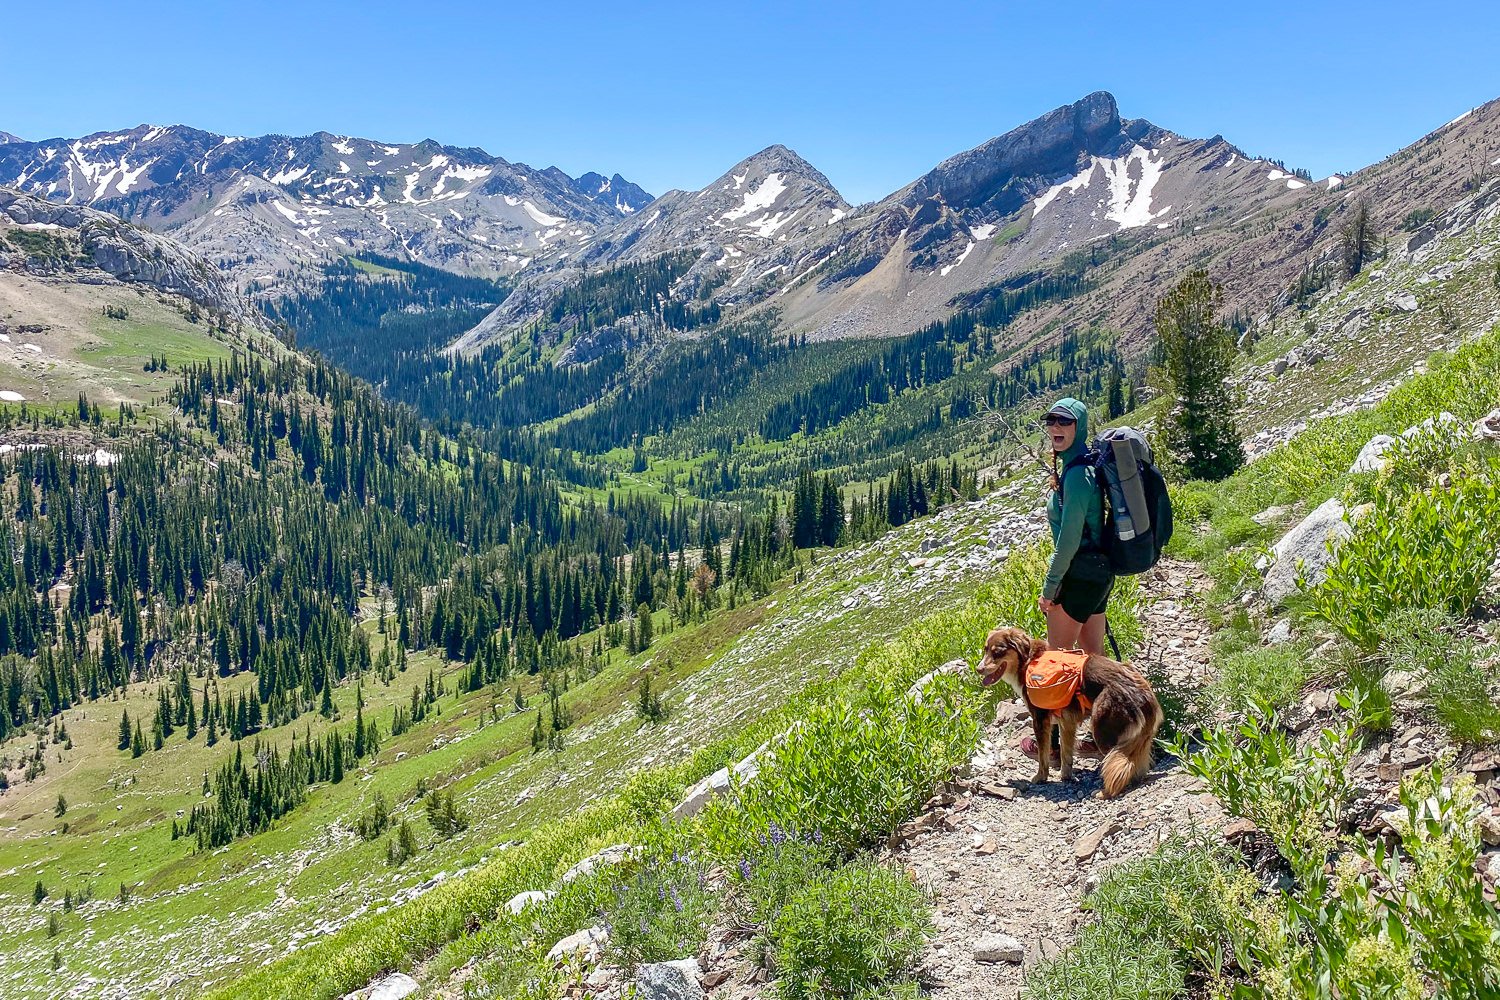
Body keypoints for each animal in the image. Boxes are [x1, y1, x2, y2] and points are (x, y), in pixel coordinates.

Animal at [978, 626, 1164, 797]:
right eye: (985, 649)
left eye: (998, 652)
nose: (979, 669)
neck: (1027, 661)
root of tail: (1143, 695)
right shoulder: (1067, 722)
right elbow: (1066, 754)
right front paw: (1066, 777)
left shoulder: (1040, 720)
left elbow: (1043, 756)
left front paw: (1040, 777)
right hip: (1138, 738)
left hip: (1103, 730)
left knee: (1119, 765)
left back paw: (1104, 792)